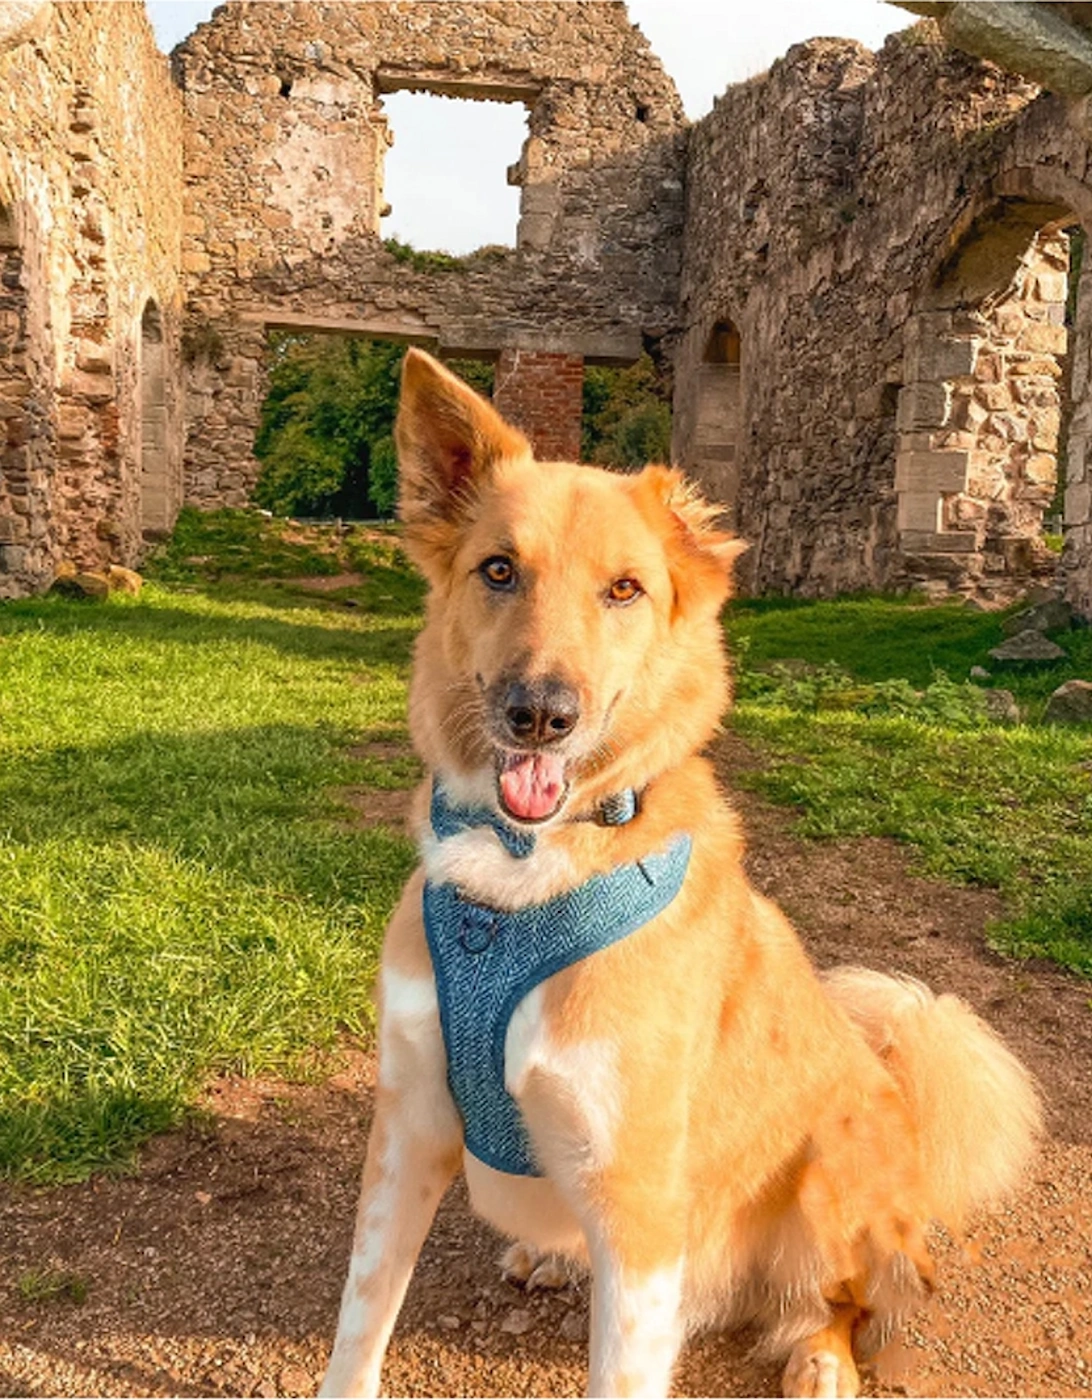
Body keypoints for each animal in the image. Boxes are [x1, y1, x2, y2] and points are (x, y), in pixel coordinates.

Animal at [317, 344, 1041, 1394]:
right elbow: (358, 1327)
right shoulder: (408, 1132)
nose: (541, 715)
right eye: (499, 570)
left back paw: (822, 1361)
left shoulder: (639, 1201)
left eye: (626, 590)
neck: (520, 879)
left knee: (839, 1307)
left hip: (827, 1175)